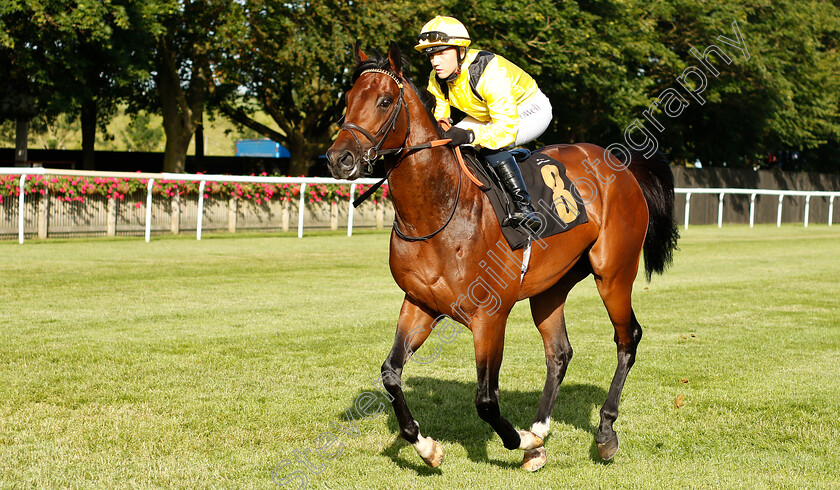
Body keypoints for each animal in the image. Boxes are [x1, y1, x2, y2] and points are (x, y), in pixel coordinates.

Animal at [324, 43, 680, 470]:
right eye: (347, 98)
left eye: (384, 100)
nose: (339, 158)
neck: (438, 209)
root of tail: (623, 166)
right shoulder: (420, 303)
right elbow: (390, 374)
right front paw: (428, 448)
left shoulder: (489, 316)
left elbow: (486, 400)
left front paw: (522, 440)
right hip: (550, 287)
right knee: (559, 353)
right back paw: (540, 428)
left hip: (614, 272)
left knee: (628, 338)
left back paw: (604, 432)